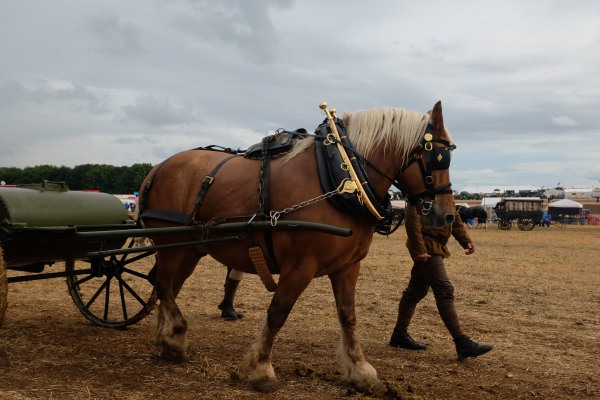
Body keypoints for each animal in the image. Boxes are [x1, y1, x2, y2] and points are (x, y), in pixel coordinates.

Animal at [136, 101, 454, 394]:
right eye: (440, 157)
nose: (448, 216)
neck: (343, 176)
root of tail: (157, 168)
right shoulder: (300, 267)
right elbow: (278, 312)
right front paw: (262, 369)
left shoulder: (348, 266)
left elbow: (348, 315)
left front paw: (361, 371)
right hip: (170, 244)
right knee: (162, 283)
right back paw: (176, 336)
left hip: (191, 249)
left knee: (168, 286)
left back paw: (165, 338)